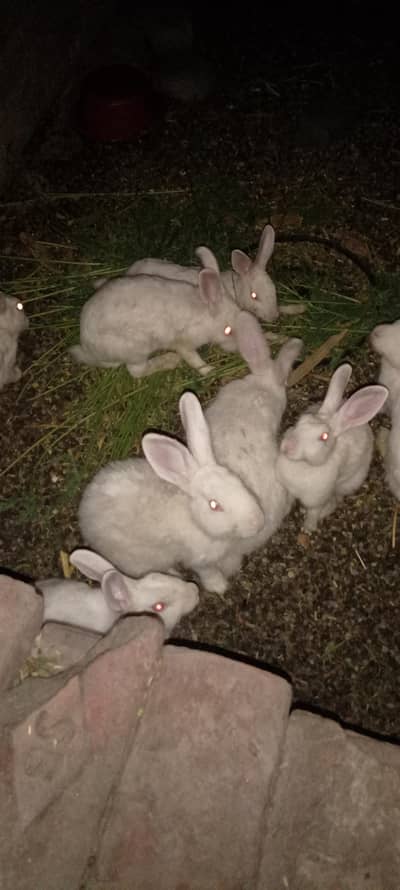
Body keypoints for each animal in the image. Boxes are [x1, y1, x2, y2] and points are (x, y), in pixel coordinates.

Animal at [70, 265, 248, 378]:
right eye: (227, 331)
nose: (239, 349)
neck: (204, 314)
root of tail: (88, 348)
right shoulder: (183, 343)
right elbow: (193, 359)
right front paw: (210, 370)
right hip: (136, 348)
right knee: (137, 371)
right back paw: (170, 360)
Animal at [78, 390, 265, 595]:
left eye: (238, 481)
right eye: (214, 505)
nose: (257, 522)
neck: (195, 519)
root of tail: (84, 513)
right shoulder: (198, 560)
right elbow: (208, 572)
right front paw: (219, 586)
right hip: (136, 559)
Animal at [93, 225, 305, 323]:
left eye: (274, 290)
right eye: (255, 296)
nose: (274, 317)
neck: (234, 290)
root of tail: (129, 272)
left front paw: (297, 308)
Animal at [276, 364, 388, 532]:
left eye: (324, 437)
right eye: (301, 420)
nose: (287, 446)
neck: (303, 466)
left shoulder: (317, 500)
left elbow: (313, 514)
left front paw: (308, 529)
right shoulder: (288, 489)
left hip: (348, 483)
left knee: (337, 499)